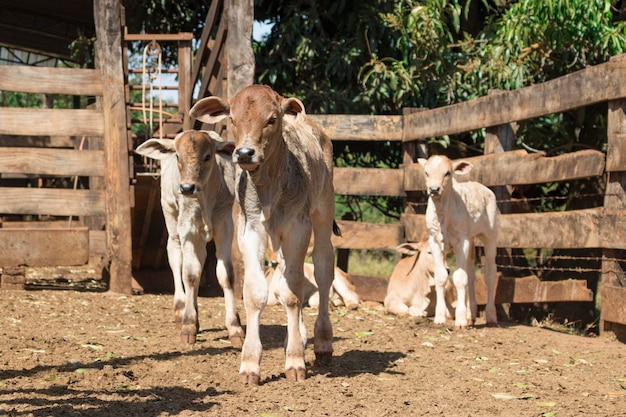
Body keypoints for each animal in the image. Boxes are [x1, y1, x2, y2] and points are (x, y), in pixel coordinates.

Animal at [134, 131, 244, 344]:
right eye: (178, 156)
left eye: (208, 156)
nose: (186, 187)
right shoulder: (187, 224)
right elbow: (190, 273)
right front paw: (188, 325)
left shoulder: (225, 223)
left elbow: (225, 274)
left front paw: (235, 327)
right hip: (170, 215)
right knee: (176, 258)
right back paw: (180, 310)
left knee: (199, 261)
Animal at [190, 84, 336, 384]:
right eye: (232, 119)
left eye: (272, 119)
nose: (245, 153)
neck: (269, 185)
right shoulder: (250, 229)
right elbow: (258, 293)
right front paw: (250, 364)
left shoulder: (298, 227)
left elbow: (293, 293)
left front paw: (295, 361)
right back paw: (298, 337)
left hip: (323, 213)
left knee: (323, 269)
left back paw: (322, 342)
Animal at [414, 154, 498, 328]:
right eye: (426, 172)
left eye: (448, 173)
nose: (434, 189)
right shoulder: (435, 241)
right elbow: (441, 277)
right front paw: (440, 318)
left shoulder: (461, 241)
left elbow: (459, 278)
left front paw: (460, 320)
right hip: (471, 238)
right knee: (471, 274)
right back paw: (471, 314)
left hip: (490, 235)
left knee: (489, 274)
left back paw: (490, 316)